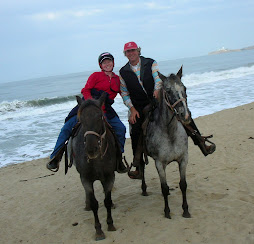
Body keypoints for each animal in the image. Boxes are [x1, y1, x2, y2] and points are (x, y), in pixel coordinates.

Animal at [69, 93, 117, 240]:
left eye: (100, 116)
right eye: (81, 120)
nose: (91, 149)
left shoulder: (109, 176)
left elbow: (107, 200)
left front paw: (110, 224)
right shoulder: (86, 179)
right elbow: (95, 203)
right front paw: (99, 230)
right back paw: (87, 204)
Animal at [143, 66, 190, 219]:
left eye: (184, 88)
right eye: (168, 91)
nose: (185, 115)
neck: (170, 133)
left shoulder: (183, 159)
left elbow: (183, 184)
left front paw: (185, 210)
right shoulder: (159, 164)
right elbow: (163, 188)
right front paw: (167, 211)